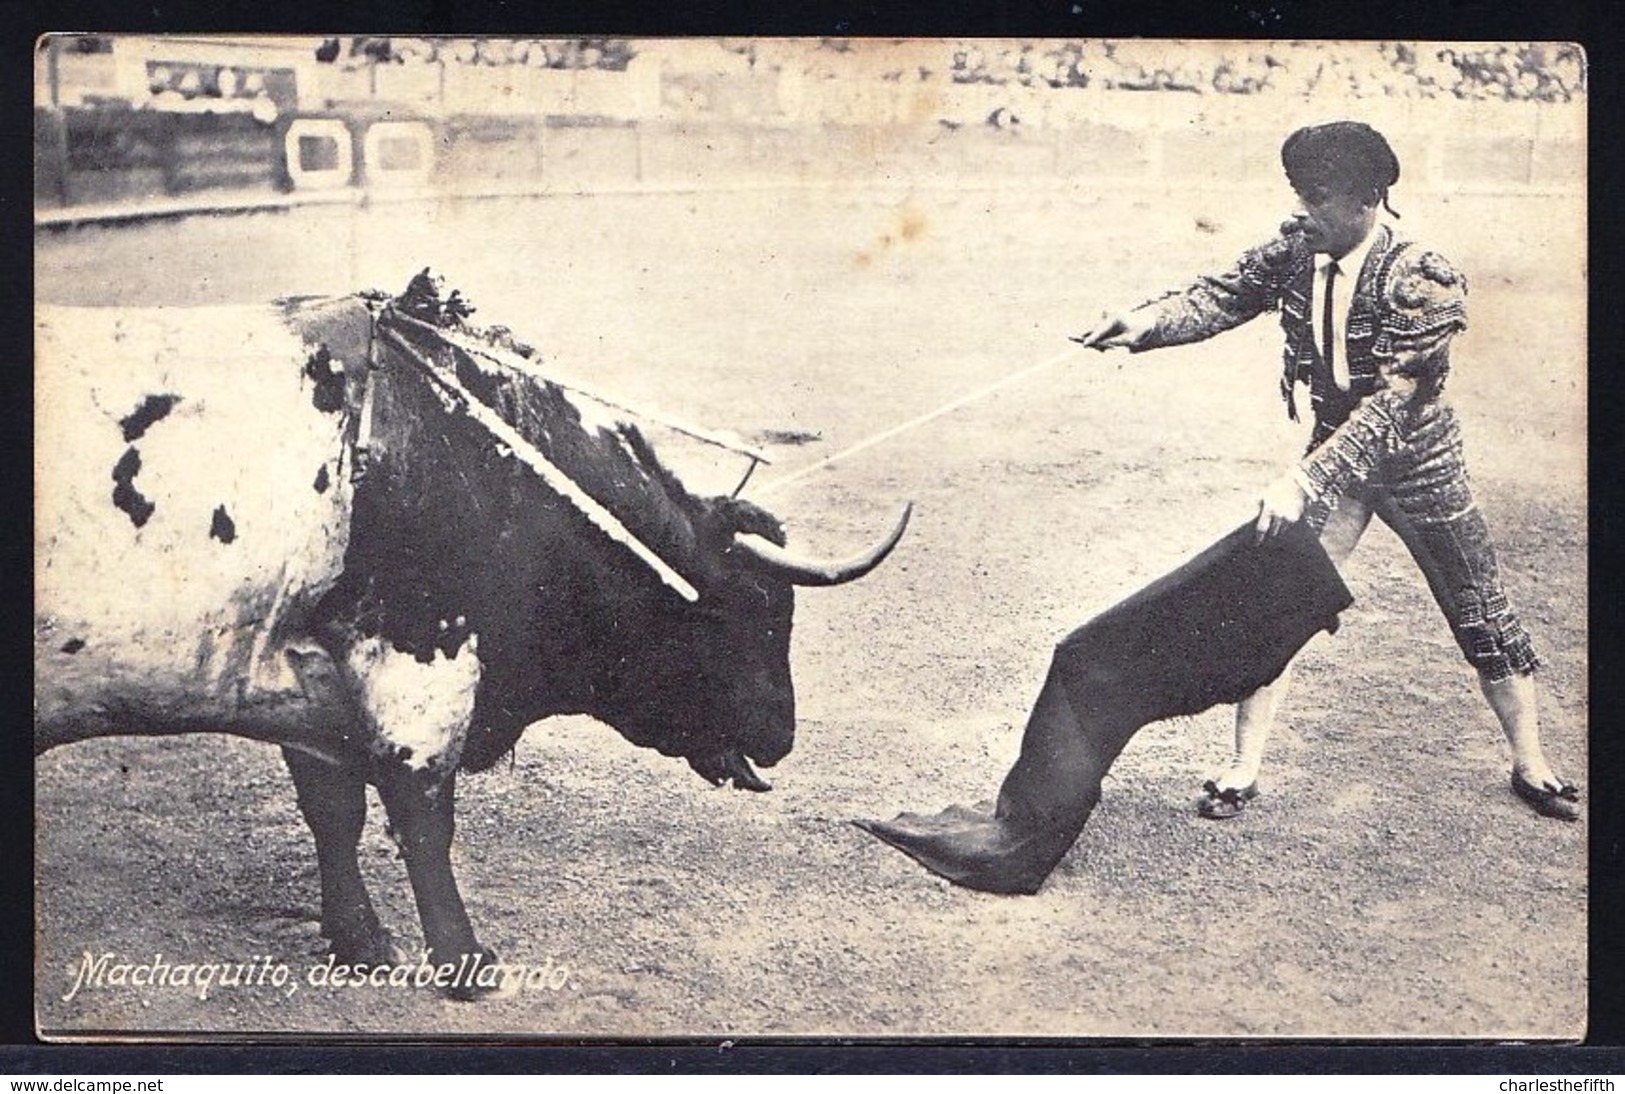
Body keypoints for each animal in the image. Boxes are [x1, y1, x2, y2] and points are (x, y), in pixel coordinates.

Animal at [38, 274, 910, 1001]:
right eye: (756, 612)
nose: (782, 734)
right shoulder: (424, 661)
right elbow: (423, 816)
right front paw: (464, 962)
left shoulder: (310, 681)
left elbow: (334, 810)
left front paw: (361, 943)